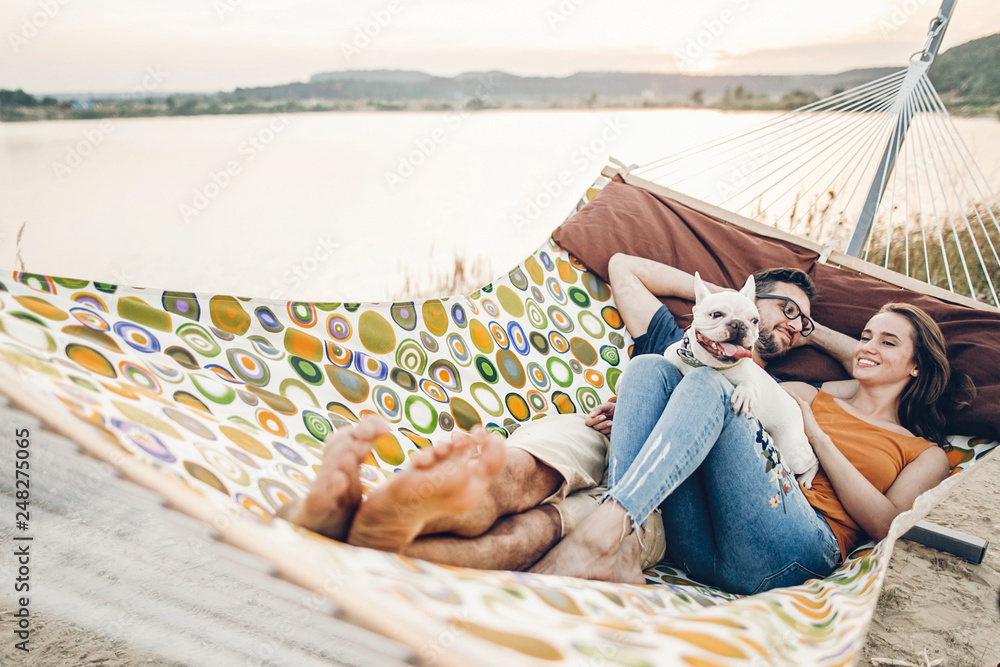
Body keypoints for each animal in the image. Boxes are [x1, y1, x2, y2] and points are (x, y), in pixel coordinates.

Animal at [664, 272, 820, 490]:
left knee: (814, 459)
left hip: (791, 450)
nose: (739, 324)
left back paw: (806, 477)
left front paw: (744, 395)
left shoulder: (751, 379)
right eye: (716, 314)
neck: (707, 364)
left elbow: (750, 384)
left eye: (754, 320)